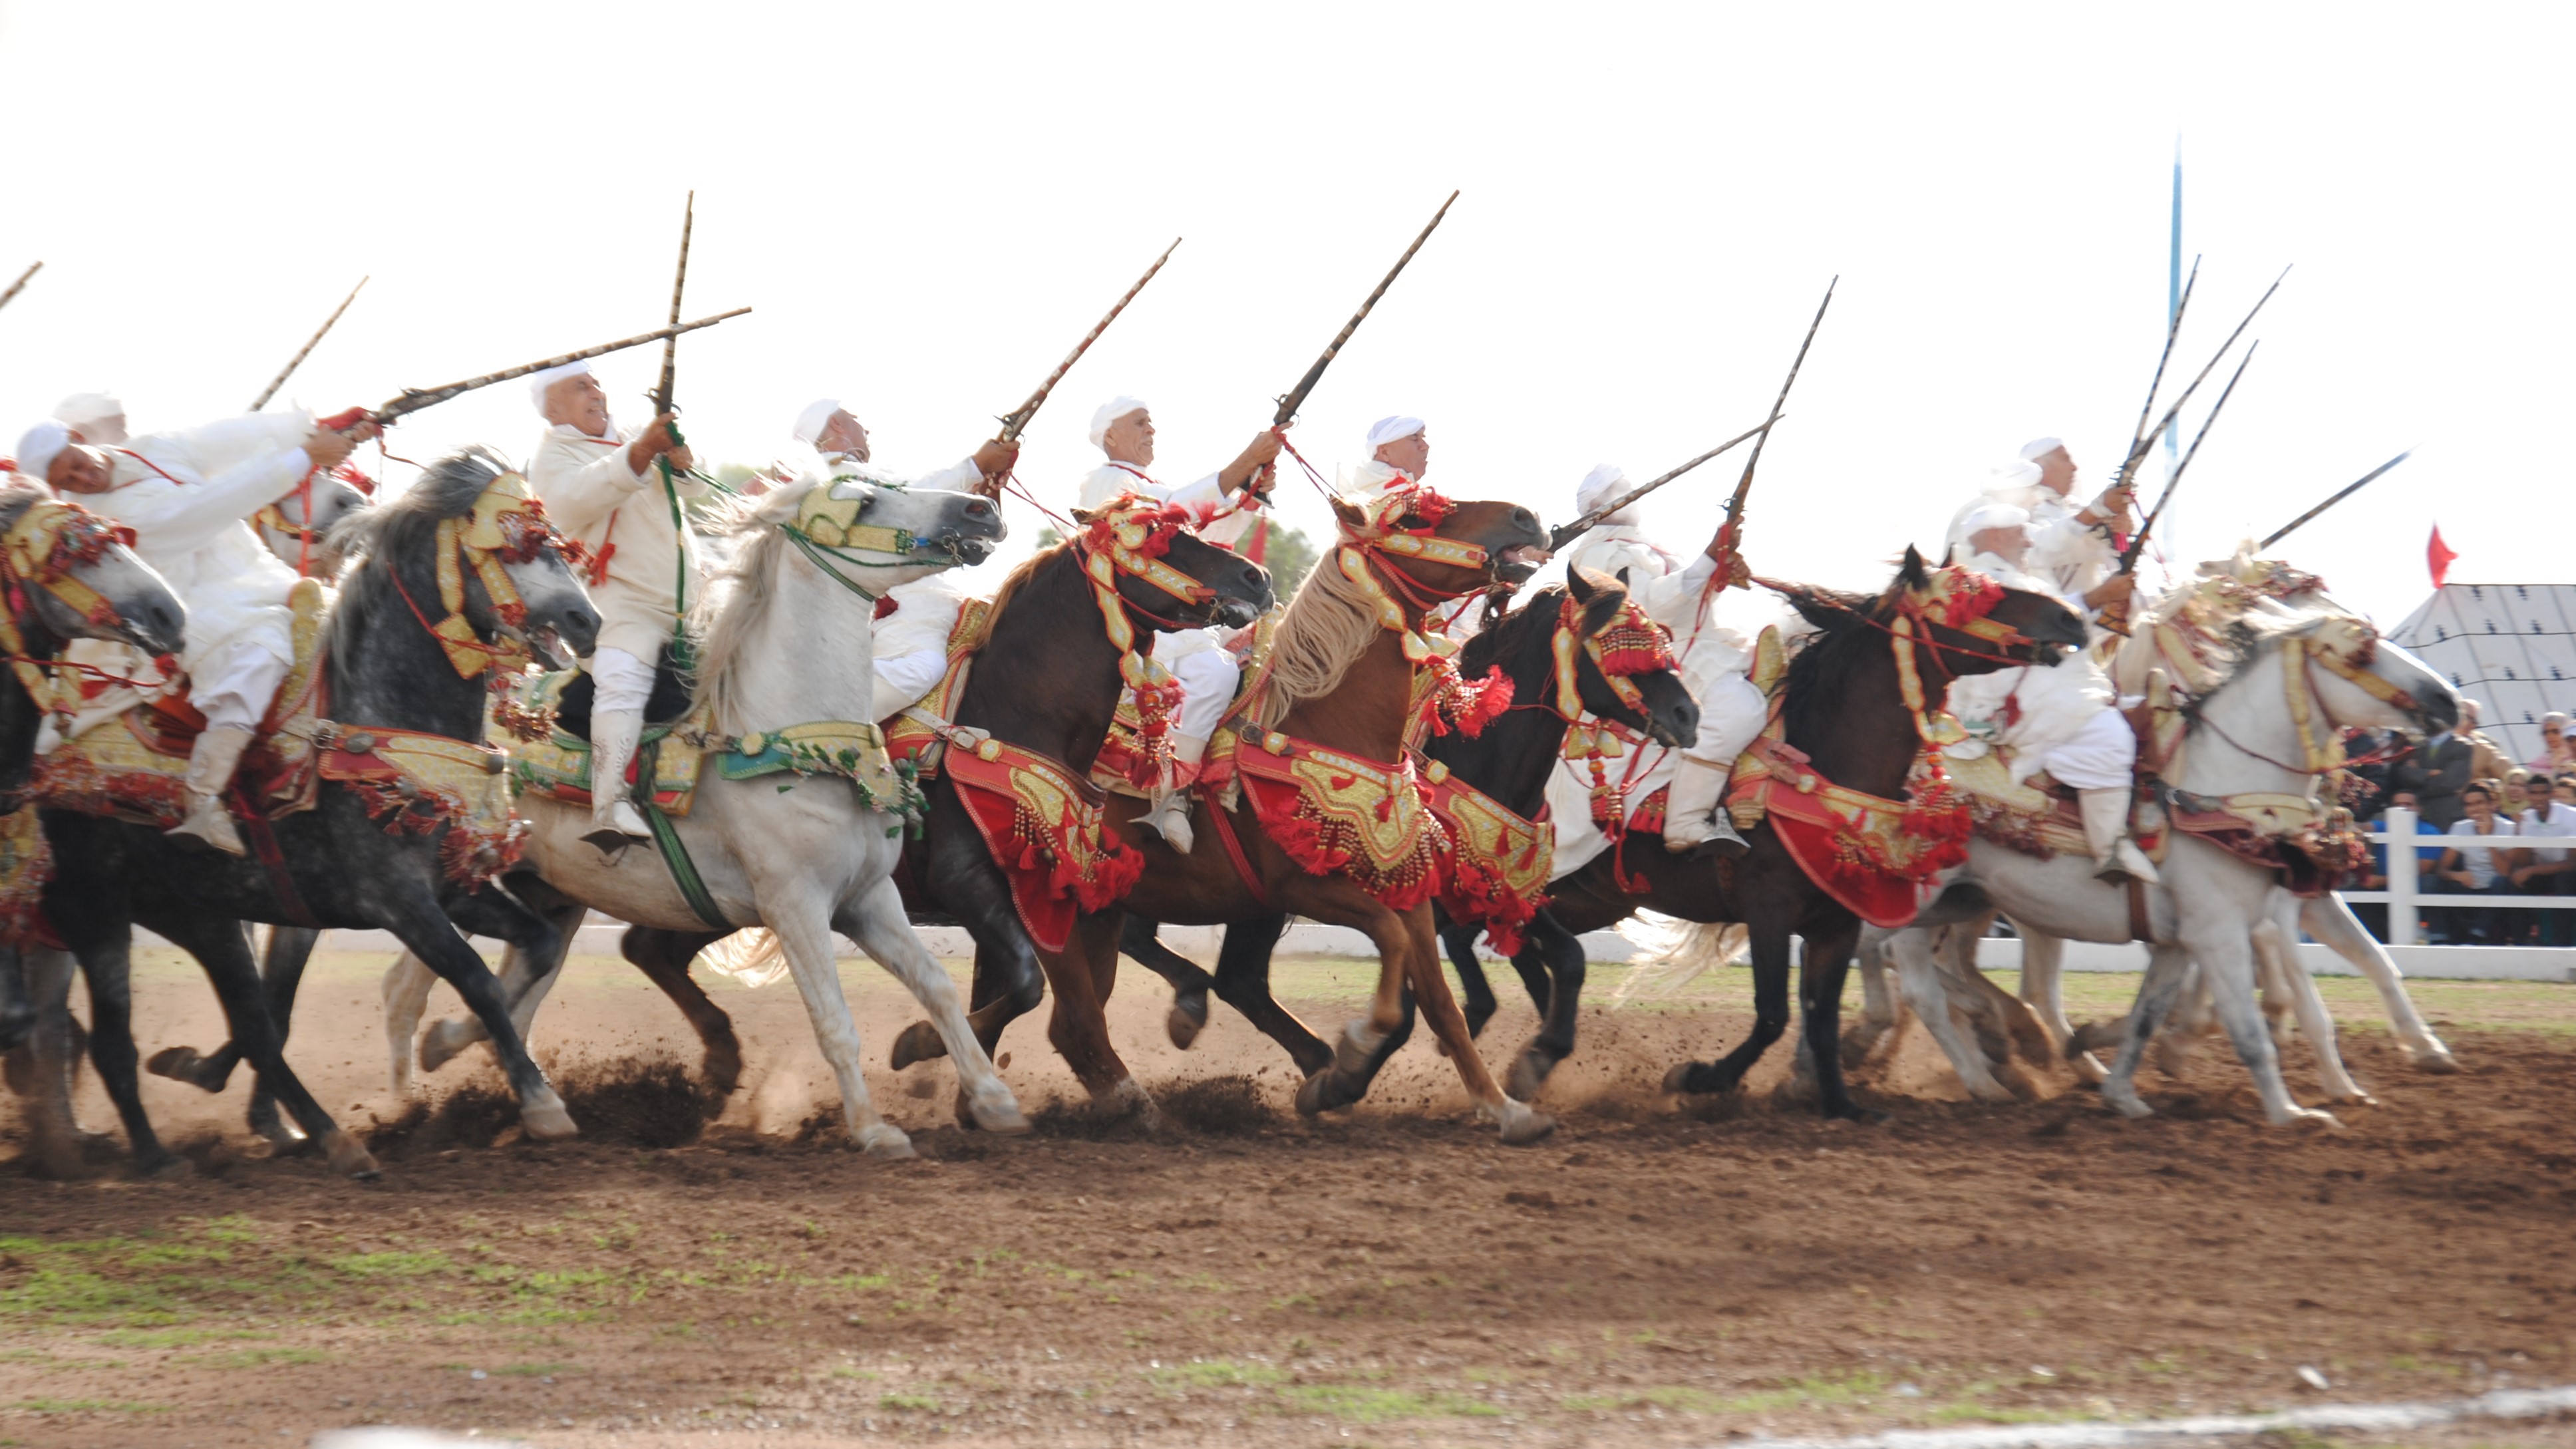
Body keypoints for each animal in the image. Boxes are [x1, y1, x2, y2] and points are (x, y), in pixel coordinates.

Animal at [381, 472, 1025, 1150]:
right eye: (866, 500)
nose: (979, 508)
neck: (795, 740)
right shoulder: (795, 905)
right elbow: (834, 1021)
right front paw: (874, 1129)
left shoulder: (870, 899)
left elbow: (937, 989)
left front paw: (993, 1100)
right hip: (467, 884)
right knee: (410, 991)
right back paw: (409, 1103)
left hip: (552, 898)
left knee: (515, 996)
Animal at [1865, 603, 2442, 1124]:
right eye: (2357, 649)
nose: (2447, 699)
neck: (2219, 789)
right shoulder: (2223, 931)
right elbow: (2250, 1023)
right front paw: (2291, 1111)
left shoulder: (2190, 937)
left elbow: (2152, 1012)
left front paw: (2122, 1091)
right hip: (1925, 902)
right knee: (1922, 984)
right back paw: (1985, 1066)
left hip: (1962, 904)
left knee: (1939, 978)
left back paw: (2005, 1054)